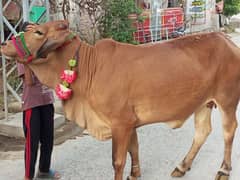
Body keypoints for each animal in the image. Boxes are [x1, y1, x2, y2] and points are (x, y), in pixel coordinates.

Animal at [0, 20, 240, 180]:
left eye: (38, 32)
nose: (4, 44)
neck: (89, 67)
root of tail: (227, 41)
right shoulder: (129, 123)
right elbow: (134, 149)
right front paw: (134, 174)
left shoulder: (120, 123)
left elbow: (118, 160)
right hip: (203, 103)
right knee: (202, 131)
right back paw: (182, 166)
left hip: (226, 100)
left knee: (228, 132)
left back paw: (223, 170)